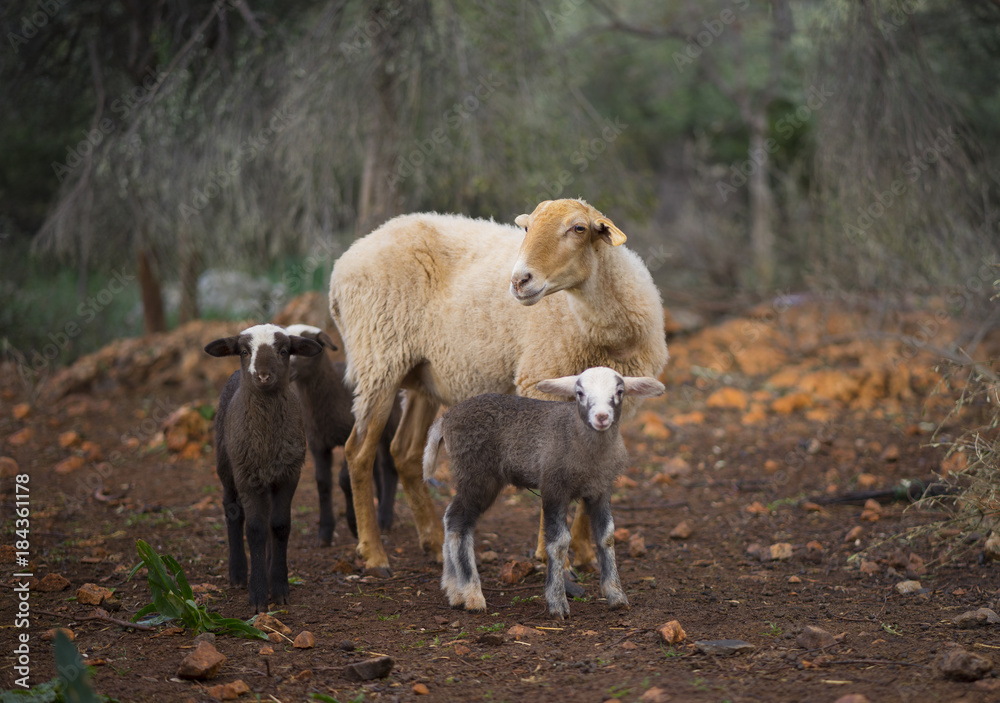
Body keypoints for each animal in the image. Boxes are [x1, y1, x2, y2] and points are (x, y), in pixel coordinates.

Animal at [204, 324, 322, 613]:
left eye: (284, 351)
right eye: (244, 351)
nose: (264, 375)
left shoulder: (289, 474)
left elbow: (279, 526)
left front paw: (279, 588)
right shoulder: (246, 476)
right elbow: (255, 529)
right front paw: (257, 596)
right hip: (226, 465)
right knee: (232, 511)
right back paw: (237, 574)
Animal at [283, 323, 401, 544]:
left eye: (305, 349)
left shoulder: (349, 435)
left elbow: (344, 479)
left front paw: (354, 525)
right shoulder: (317, 443)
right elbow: (323, 483)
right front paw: (325, 532)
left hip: (391, 423)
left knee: (389, 468)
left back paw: (385, 518)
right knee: (374, 468)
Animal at [329, 198, 669, 575]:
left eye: (579, 228)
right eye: (527, 227)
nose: (519, 280)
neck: (605, 335)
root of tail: (346, 261)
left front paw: (583, 555)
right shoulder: (540, 381)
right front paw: (551, 556)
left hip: (424, 374)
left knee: (404, 452)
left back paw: (433, 542)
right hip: (378, 358)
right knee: (358, 452)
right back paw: (374, 554)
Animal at [423, 366, 665, 619]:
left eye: (619, 391)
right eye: (579, 393)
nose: (601, 417)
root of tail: (446, 418)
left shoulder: (601, 490)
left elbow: (606, 536)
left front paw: (616, 595)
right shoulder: (553, 487)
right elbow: (559, 542)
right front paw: (557, 602)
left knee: (451, 518)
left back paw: (454, 591)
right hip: (476, 474)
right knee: (459, 522)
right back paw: (472, 594)